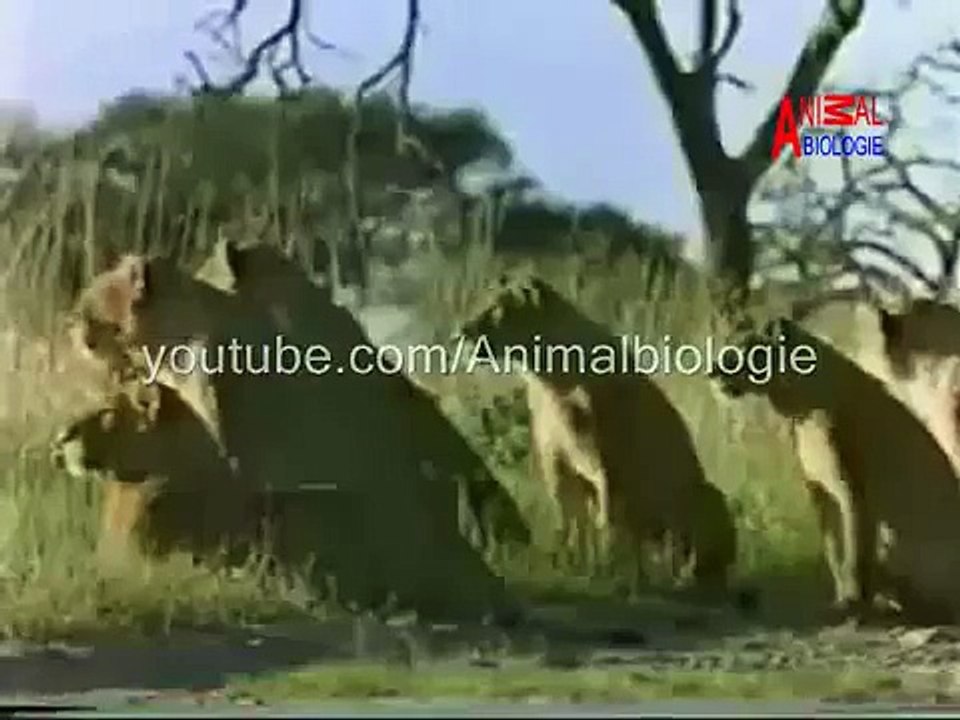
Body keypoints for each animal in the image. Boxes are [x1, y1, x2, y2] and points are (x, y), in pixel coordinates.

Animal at [457, 273, 737, 593]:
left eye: (496, 308)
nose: (459, 333)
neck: (549, 375)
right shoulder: (556, 462)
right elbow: (570, 520)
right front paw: (572, 565)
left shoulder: (610, 466)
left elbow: (607, 524)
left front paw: (609, 571)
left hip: (705, 493)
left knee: (697, 557)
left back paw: (681, 578)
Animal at [712, 315, 960, 623]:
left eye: (744, 348)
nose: (711, 372)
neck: (798, 407)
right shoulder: (818, 489)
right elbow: (833, 547)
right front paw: (843, 596)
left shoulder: (852, 490)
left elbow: (853, 549)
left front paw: (852, 602)